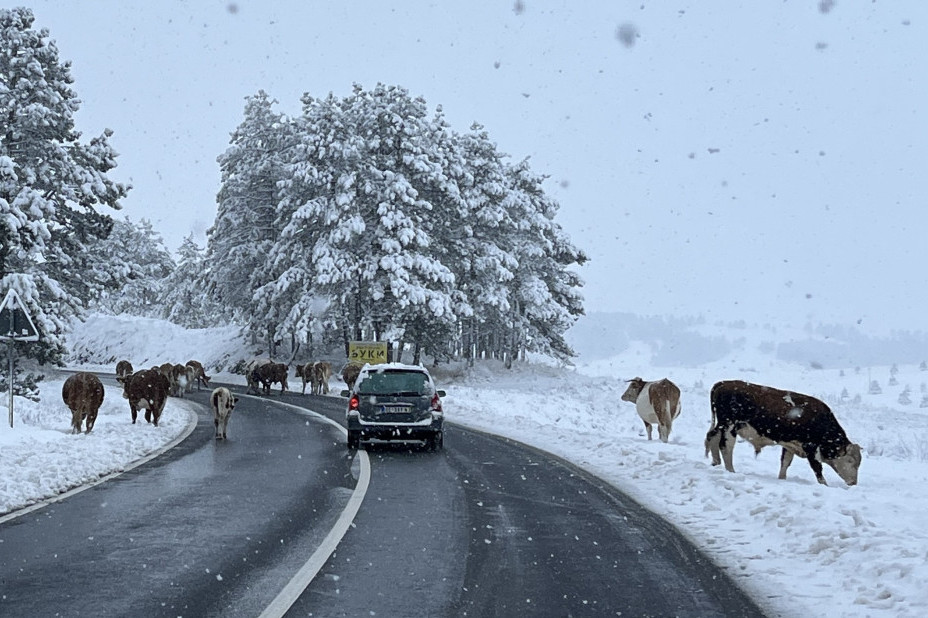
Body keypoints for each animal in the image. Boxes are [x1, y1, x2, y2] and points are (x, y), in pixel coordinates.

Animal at [704, 378, 864, 484]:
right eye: (850, 460)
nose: (853, 483)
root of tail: (723, 383)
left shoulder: (790, 444)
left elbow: (785, 462)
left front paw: (782, 479)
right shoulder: (810, 447)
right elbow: (817, 468)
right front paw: (824, 485)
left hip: (721, 425)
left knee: (712, 438)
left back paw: (716, 463)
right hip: (729, 425)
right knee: (726, 446)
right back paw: (730, 470)